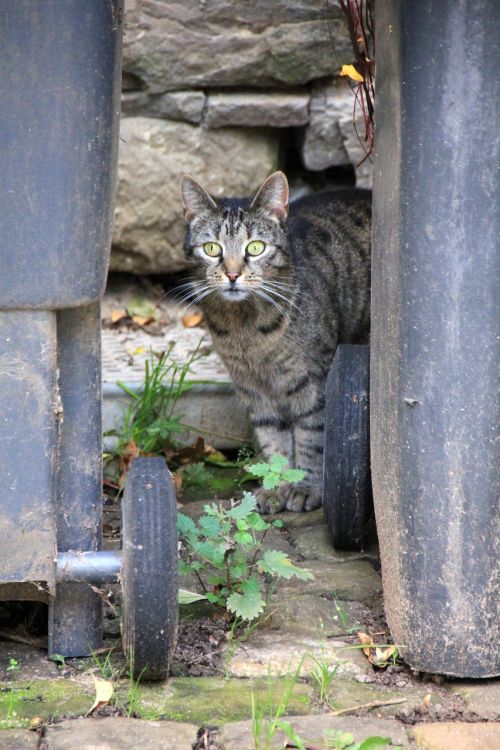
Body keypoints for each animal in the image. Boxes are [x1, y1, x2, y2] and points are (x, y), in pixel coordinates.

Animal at [182, 171, 370, 516]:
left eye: (255, 247)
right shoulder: (253, 390)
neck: (246, 329)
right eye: (212, 248)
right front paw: (276, 488)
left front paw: (306, 488)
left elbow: (311, 437)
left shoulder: (313, 385)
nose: (232, 275)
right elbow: (274, 442)